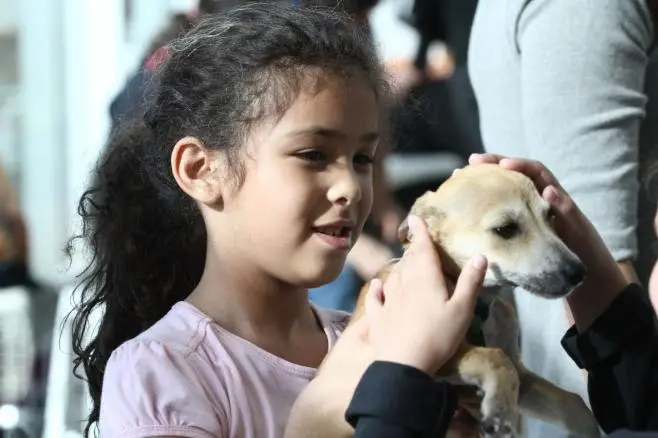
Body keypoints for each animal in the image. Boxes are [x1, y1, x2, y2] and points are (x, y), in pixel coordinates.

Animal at [284, 164, 600, 438]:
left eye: (551, 216)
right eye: (505, 229)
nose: (579, 273)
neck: (480, 303)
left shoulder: (521, 378)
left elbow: (573, 402)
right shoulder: (431, 356)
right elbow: (493, 356)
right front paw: (500, 412)